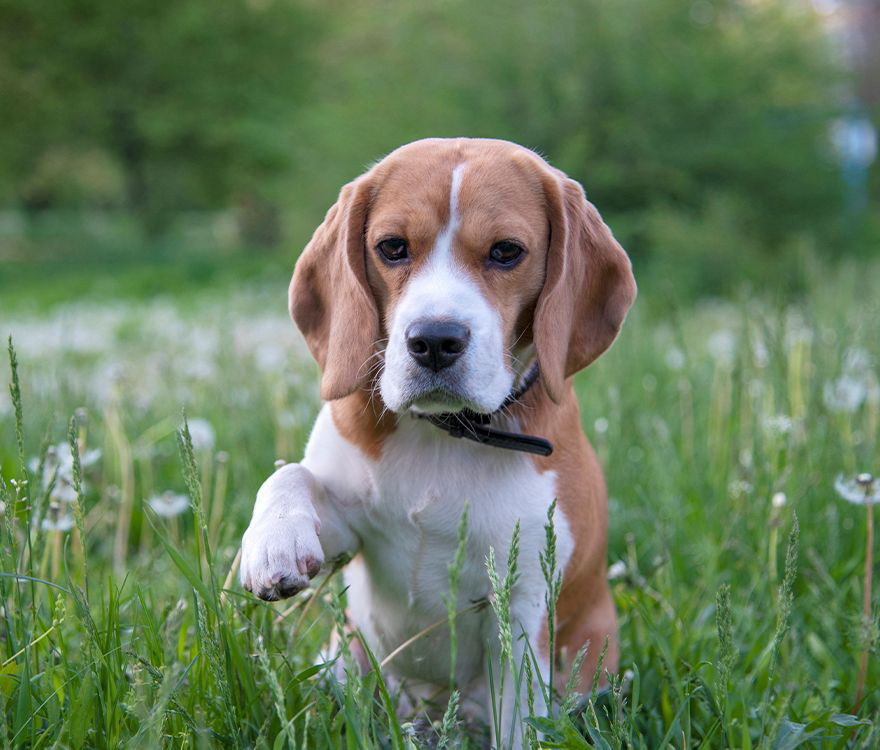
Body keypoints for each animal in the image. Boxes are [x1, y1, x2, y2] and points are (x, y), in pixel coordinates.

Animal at [241, 138, 636, 748]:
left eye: (506, 252)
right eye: (392, 247)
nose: (433, 340)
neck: (441, 434)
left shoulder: (524, 605)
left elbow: (517, 720)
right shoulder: (350, 532)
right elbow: (290, 474)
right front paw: (274, 541)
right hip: (344, 662)